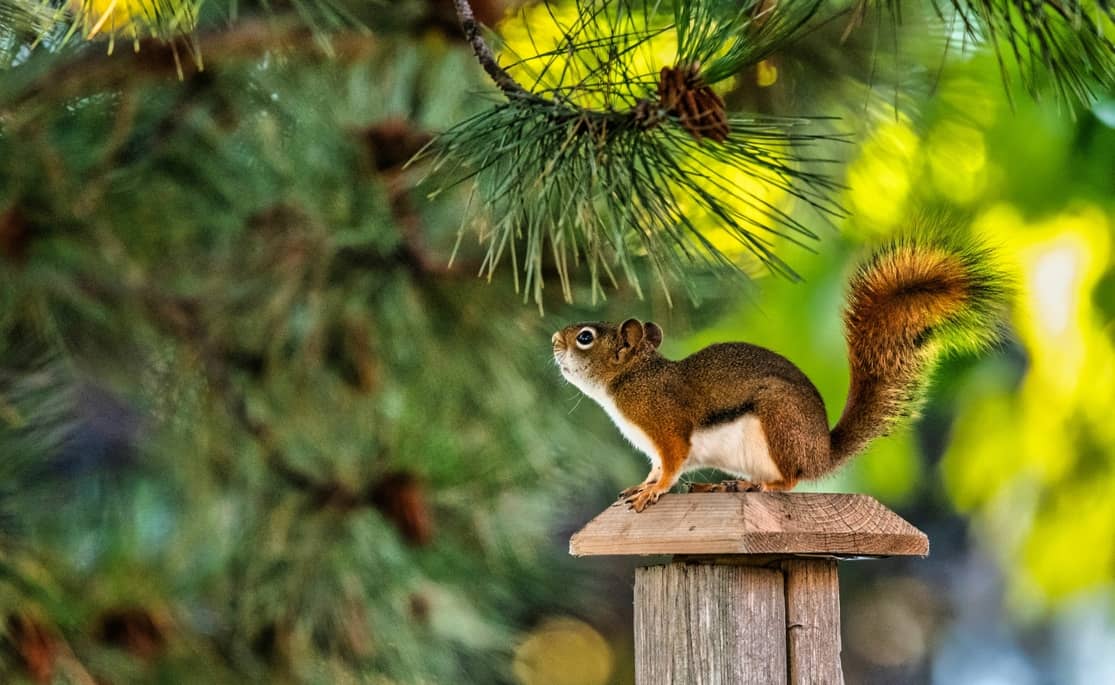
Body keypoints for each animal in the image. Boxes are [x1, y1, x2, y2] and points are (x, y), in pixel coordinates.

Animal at [550, 238, 1012, 513]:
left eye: (586, 337)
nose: (554, 339)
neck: (631, 379)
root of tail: (821, 452)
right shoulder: (653, 444)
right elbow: (654, 466)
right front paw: (639, 485)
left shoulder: (666, 426)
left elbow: (671, 464)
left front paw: (653, 491)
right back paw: (729, 487)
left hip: (779, 421)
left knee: (791, 480)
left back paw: (765, 488)